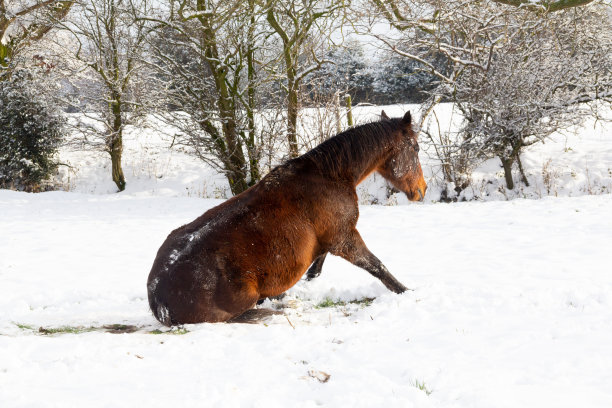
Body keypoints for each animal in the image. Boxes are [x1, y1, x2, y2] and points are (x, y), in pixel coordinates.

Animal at [147, 109, 426, 326]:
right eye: (415, 147)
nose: (421, 190)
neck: (330, 177)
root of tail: (158, 293)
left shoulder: (333, 237)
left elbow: (319, 263)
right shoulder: (344, 238)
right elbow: (378, 267)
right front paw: (408, 292)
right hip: (241, 302)